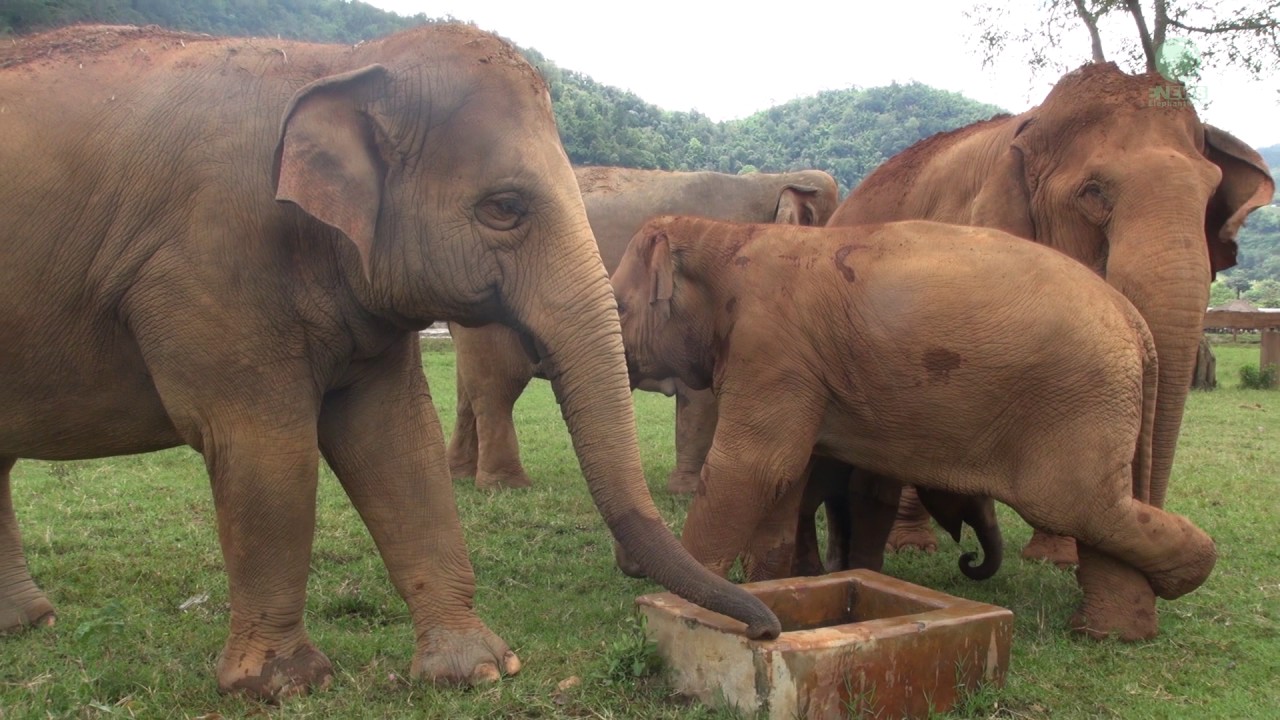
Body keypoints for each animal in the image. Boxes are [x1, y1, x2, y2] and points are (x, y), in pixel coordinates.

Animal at [0, 24, 779, 701]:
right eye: (504, 207)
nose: (766, 629)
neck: (339, 64)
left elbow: (396, 439)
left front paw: (480, 669)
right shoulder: (209, 263)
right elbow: (266, 450)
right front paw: (285, 686)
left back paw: (29, 624)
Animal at [444, 166, 839, 490]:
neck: (773, 181)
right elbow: (701, 395)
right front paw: (688, 490)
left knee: (468, 389)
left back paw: (460, 475)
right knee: (496, 387)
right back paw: (506, 486)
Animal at [612, 214, 1217, 641]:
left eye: (616, 306)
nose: (970, 560)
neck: (727, 235)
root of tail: (1133, 320)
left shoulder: (772, 348)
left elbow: (754, 468)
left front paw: (675, 602)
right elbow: (783, 479)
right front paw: (772, 586)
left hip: (1082, 398)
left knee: (1076, 505)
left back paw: (1184, 578)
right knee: (1101, 508)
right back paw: (1118, 631)